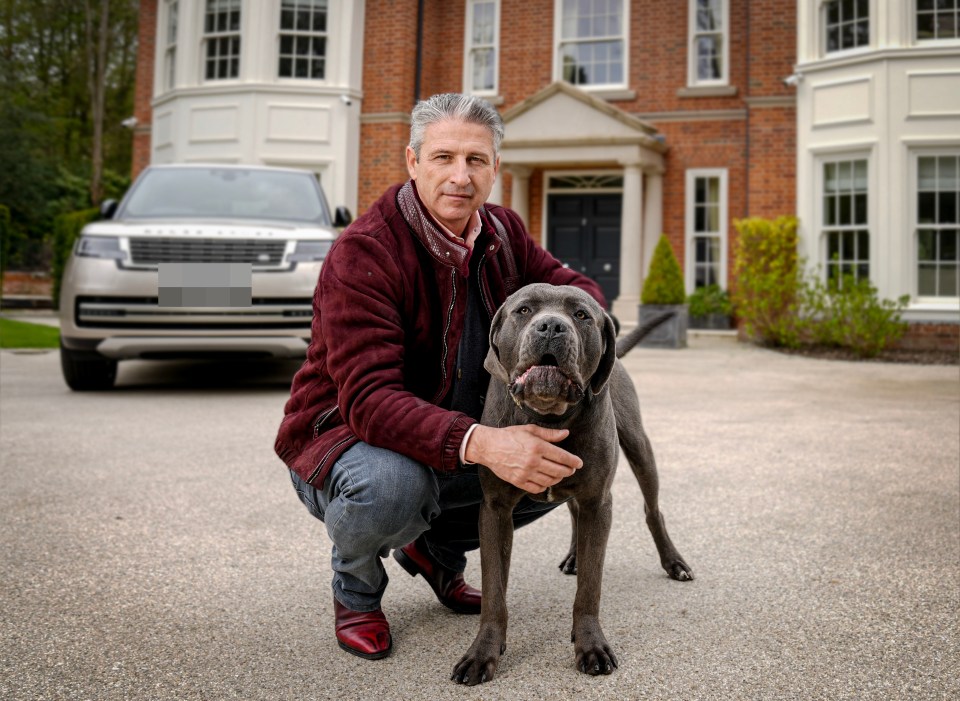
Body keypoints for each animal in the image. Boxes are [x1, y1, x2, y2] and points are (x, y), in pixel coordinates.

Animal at [450, 284, 688, 684]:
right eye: (524, 310)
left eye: (581, 315)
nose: (551, 326)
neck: (546, 416)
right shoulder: (495, 509)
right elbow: (495, 594)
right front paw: (482, 654)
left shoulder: (598, 501)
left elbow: (589, 588)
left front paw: (591, 646)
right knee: (575, 512)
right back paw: (575, 555)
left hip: (639, 447)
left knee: (652, 509)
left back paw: (674, 562)